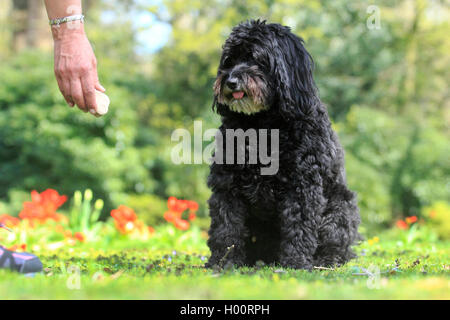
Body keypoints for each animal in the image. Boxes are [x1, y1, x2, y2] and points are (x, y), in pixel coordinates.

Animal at [206, 20, 360, 270]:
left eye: (256, 58)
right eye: (229, 60)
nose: (230, 81)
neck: (262, 124)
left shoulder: (302, 185)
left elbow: (299, 226)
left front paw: (296, 262)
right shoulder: (227, 183)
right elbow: (225, 227)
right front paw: (222, 262)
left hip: (340, 209)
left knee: (337, 245)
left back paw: (326, 260)